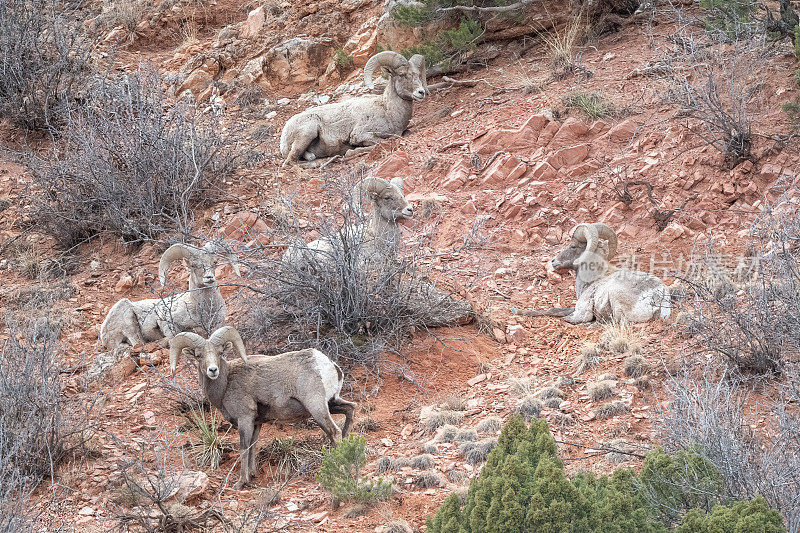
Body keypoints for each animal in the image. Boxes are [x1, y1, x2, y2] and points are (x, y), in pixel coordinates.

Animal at [100, 242, 239, 350]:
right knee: (137, 343)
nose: (209, 278)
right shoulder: (166, 322)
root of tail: (103, 334)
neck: (204, 310)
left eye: (214, 261)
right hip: (128, 321)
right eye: (193, 265)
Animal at [170, 326, 354, 488]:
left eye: (220, 353)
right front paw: (252, 474)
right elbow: (253, 446)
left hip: (317, 408)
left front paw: (241, 482)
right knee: (350, 409)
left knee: (334, 432)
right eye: (198, 355)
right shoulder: (257, 422)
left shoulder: (245, 419)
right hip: (331, 403)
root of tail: (330, 365)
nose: (213, 370)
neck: (226, 384)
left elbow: (244, 448)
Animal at [282, 52, 432, 165]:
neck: (388, 112)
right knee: (290, 161)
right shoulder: (359, 134)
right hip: (308, 131)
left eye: (418, 75)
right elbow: (382, 141)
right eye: (402, 75)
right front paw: (350, 151)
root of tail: (285, 132)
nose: (421, 92)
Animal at [512, 222, 668, 322]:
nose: (553, 261)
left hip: (616, 297)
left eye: (573, 246)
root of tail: (657, 295)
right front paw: (516, 311)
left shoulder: (581, 311)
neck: (592, 280)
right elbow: (551, 310)